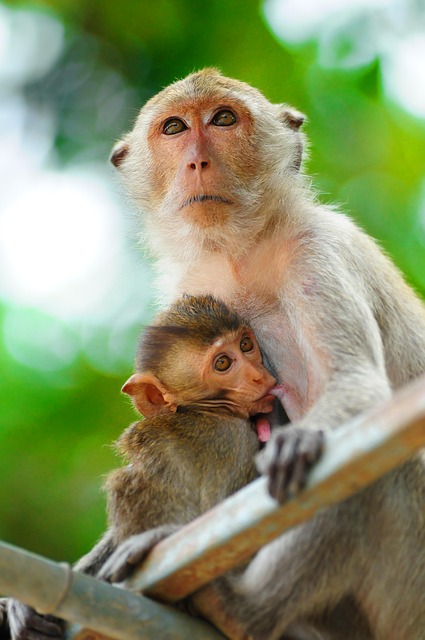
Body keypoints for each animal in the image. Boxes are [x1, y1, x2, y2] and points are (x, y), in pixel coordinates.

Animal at [101, 68, 425, 639]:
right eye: (174, 128)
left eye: (223, 119)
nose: (197, 161)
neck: (240, 254)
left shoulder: (316, 252)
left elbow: (358, 387)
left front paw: (294, 445)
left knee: (374, 468)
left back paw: (241, 609)